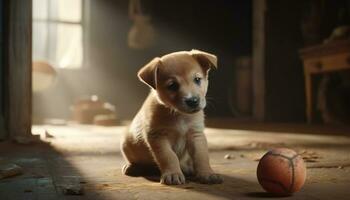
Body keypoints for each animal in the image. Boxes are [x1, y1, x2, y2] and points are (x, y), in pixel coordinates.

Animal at [121, 49, 223, 185]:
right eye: (172, 85)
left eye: (197, 79)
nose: (193, 101)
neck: (179, 115)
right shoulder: (158, 137)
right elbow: (169, 156)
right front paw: (173, 174)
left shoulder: (196, 135)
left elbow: (201, 156)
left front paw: (207, 173)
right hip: (126, 144)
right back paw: (132, 167)